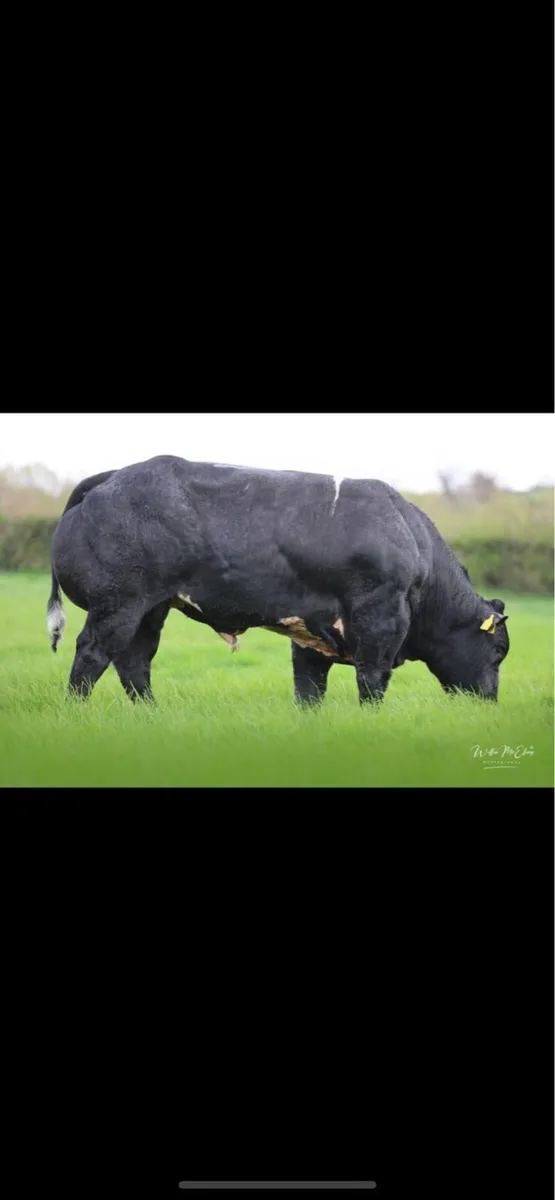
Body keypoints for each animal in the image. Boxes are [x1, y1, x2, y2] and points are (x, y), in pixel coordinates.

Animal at [46, 455, 510, 705]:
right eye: (499, 651)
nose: (489, 701)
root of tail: (113, 476)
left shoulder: (312, 630)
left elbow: (309, 689)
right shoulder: (380, 620)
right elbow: (372, 680)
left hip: (150, 608)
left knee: (134, 662)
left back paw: (152, 714)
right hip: (118, 604)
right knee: (92, 656)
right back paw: (75, 712)